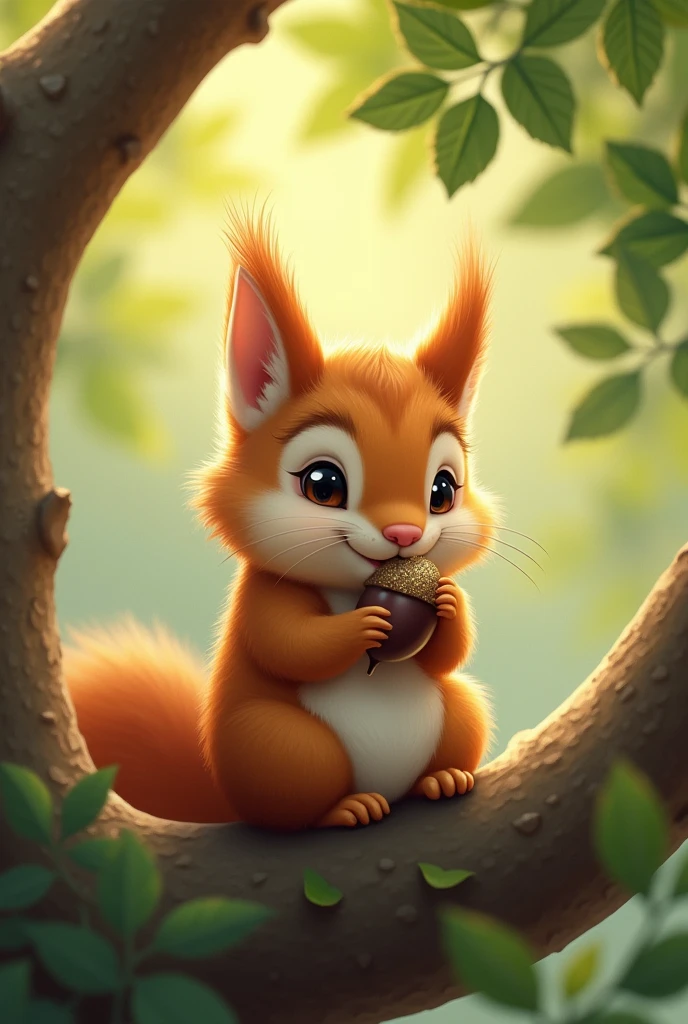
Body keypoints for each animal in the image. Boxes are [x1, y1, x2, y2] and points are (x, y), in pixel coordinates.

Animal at [65, 207, 498, 831]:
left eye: (443, 490)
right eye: (323, 483)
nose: (405, 534)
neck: (353, 586)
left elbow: (447, 653)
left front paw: (450, 602)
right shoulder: (264, 593)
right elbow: (287, 643)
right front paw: (361, 627)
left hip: (460, 711)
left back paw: (442, 780)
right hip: (278, 748)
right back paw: (346, 808)